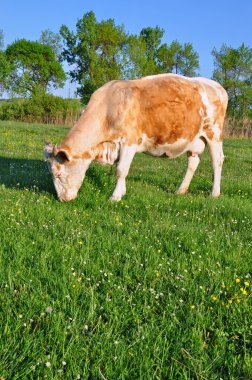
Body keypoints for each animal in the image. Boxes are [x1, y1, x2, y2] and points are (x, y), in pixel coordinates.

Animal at [43, 72, 228, 202]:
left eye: (58, 174)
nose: (62, 200)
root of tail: (216, 85)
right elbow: (120, 169)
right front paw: (122, 192)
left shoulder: (129, 141)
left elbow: (121, 170)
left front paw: (115, 197)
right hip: (195, 139)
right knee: (193, 162)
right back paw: (180, 190)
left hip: (214, 133)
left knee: (217, 161)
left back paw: (214, 193)